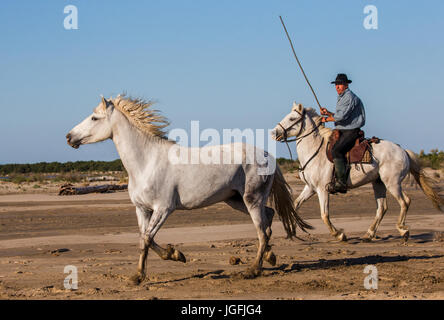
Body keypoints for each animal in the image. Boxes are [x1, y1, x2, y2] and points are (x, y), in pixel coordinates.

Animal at [67, 95, 312, 284]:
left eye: (94, 118)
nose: (69, 137)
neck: (146, 162)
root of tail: (268, 155)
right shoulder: (142, 210)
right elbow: (144, 239)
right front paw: (159, 263)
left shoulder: (164, 209)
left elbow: (146, 239)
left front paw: (155, 266)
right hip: (236, 200)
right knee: (268, 219)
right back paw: (270, 257)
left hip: (252, 199)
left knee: (262, 231)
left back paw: (252, 270)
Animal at [270, 102, 444, 242]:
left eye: (292, 118)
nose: (273, 132)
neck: (315, 151)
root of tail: (403, 150)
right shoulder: (310, 188)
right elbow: (295, 205)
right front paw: (291, 230)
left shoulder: (322, 189)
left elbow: (324, 215)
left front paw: (340, 235)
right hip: (378, 183)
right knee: (382, 208)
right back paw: (369, 234)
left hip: (393, 183)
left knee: (405, 201)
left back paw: (402, 230)